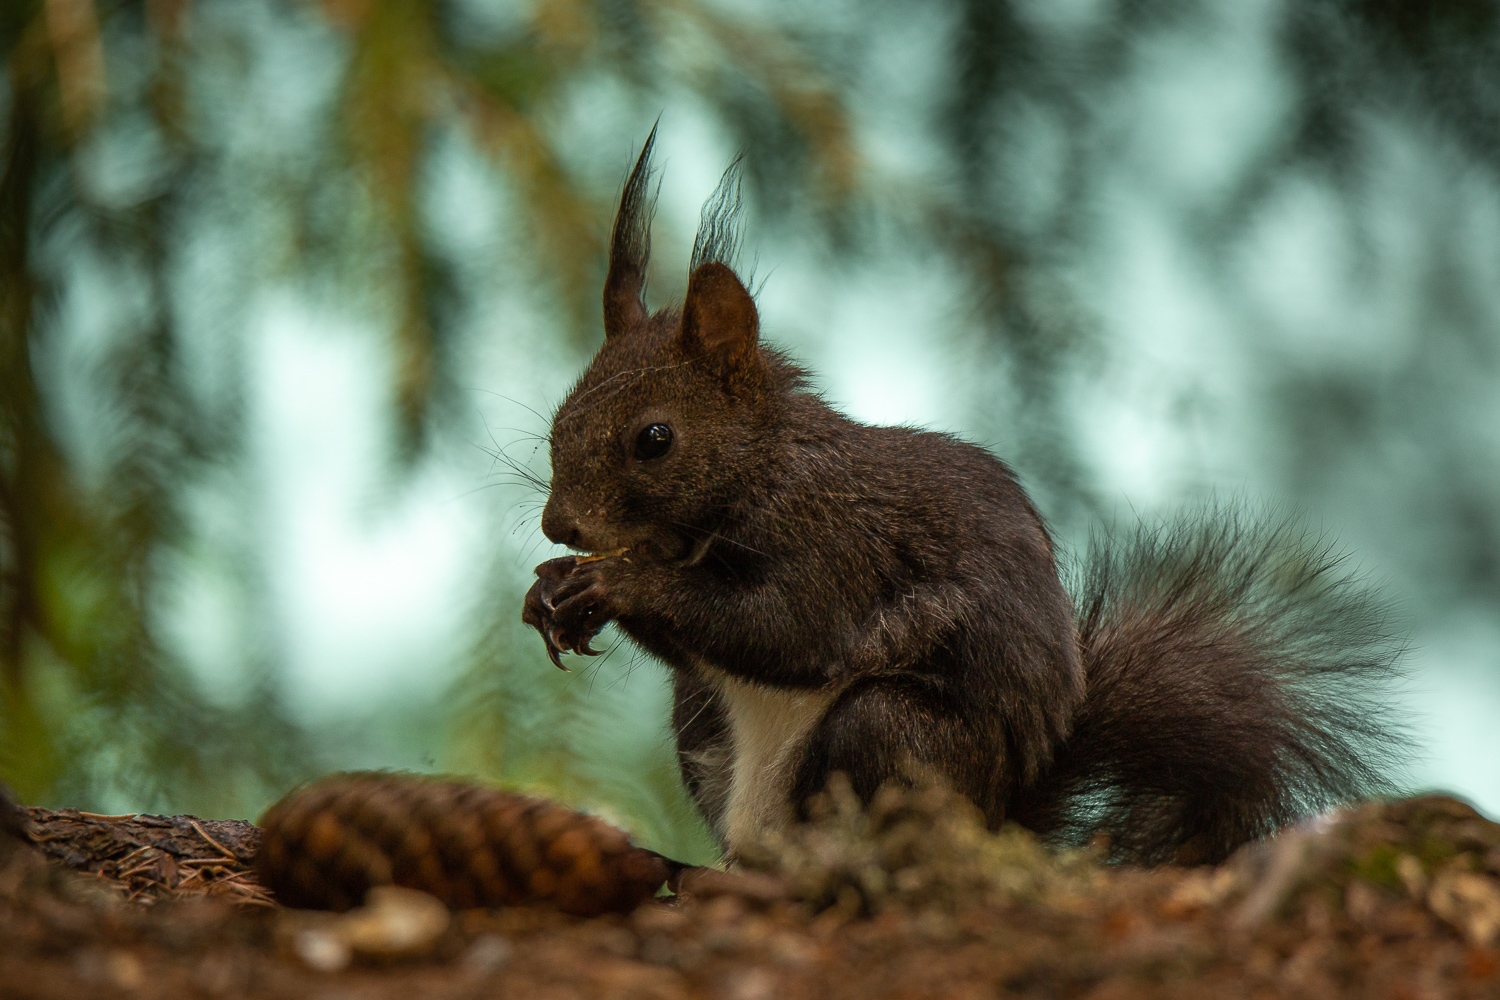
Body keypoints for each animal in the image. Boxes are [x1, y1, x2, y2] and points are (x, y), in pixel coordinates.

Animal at [522, 131, 1410, 869]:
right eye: (559, 418)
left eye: (654, 438)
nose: (558, 524)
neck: (756, 476)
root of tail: (997, 820)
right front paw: (550, 593)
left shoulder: (836, 544)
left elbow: (783, 630)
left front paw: (619, 583)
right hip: (700, 726)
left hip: (893, 739)